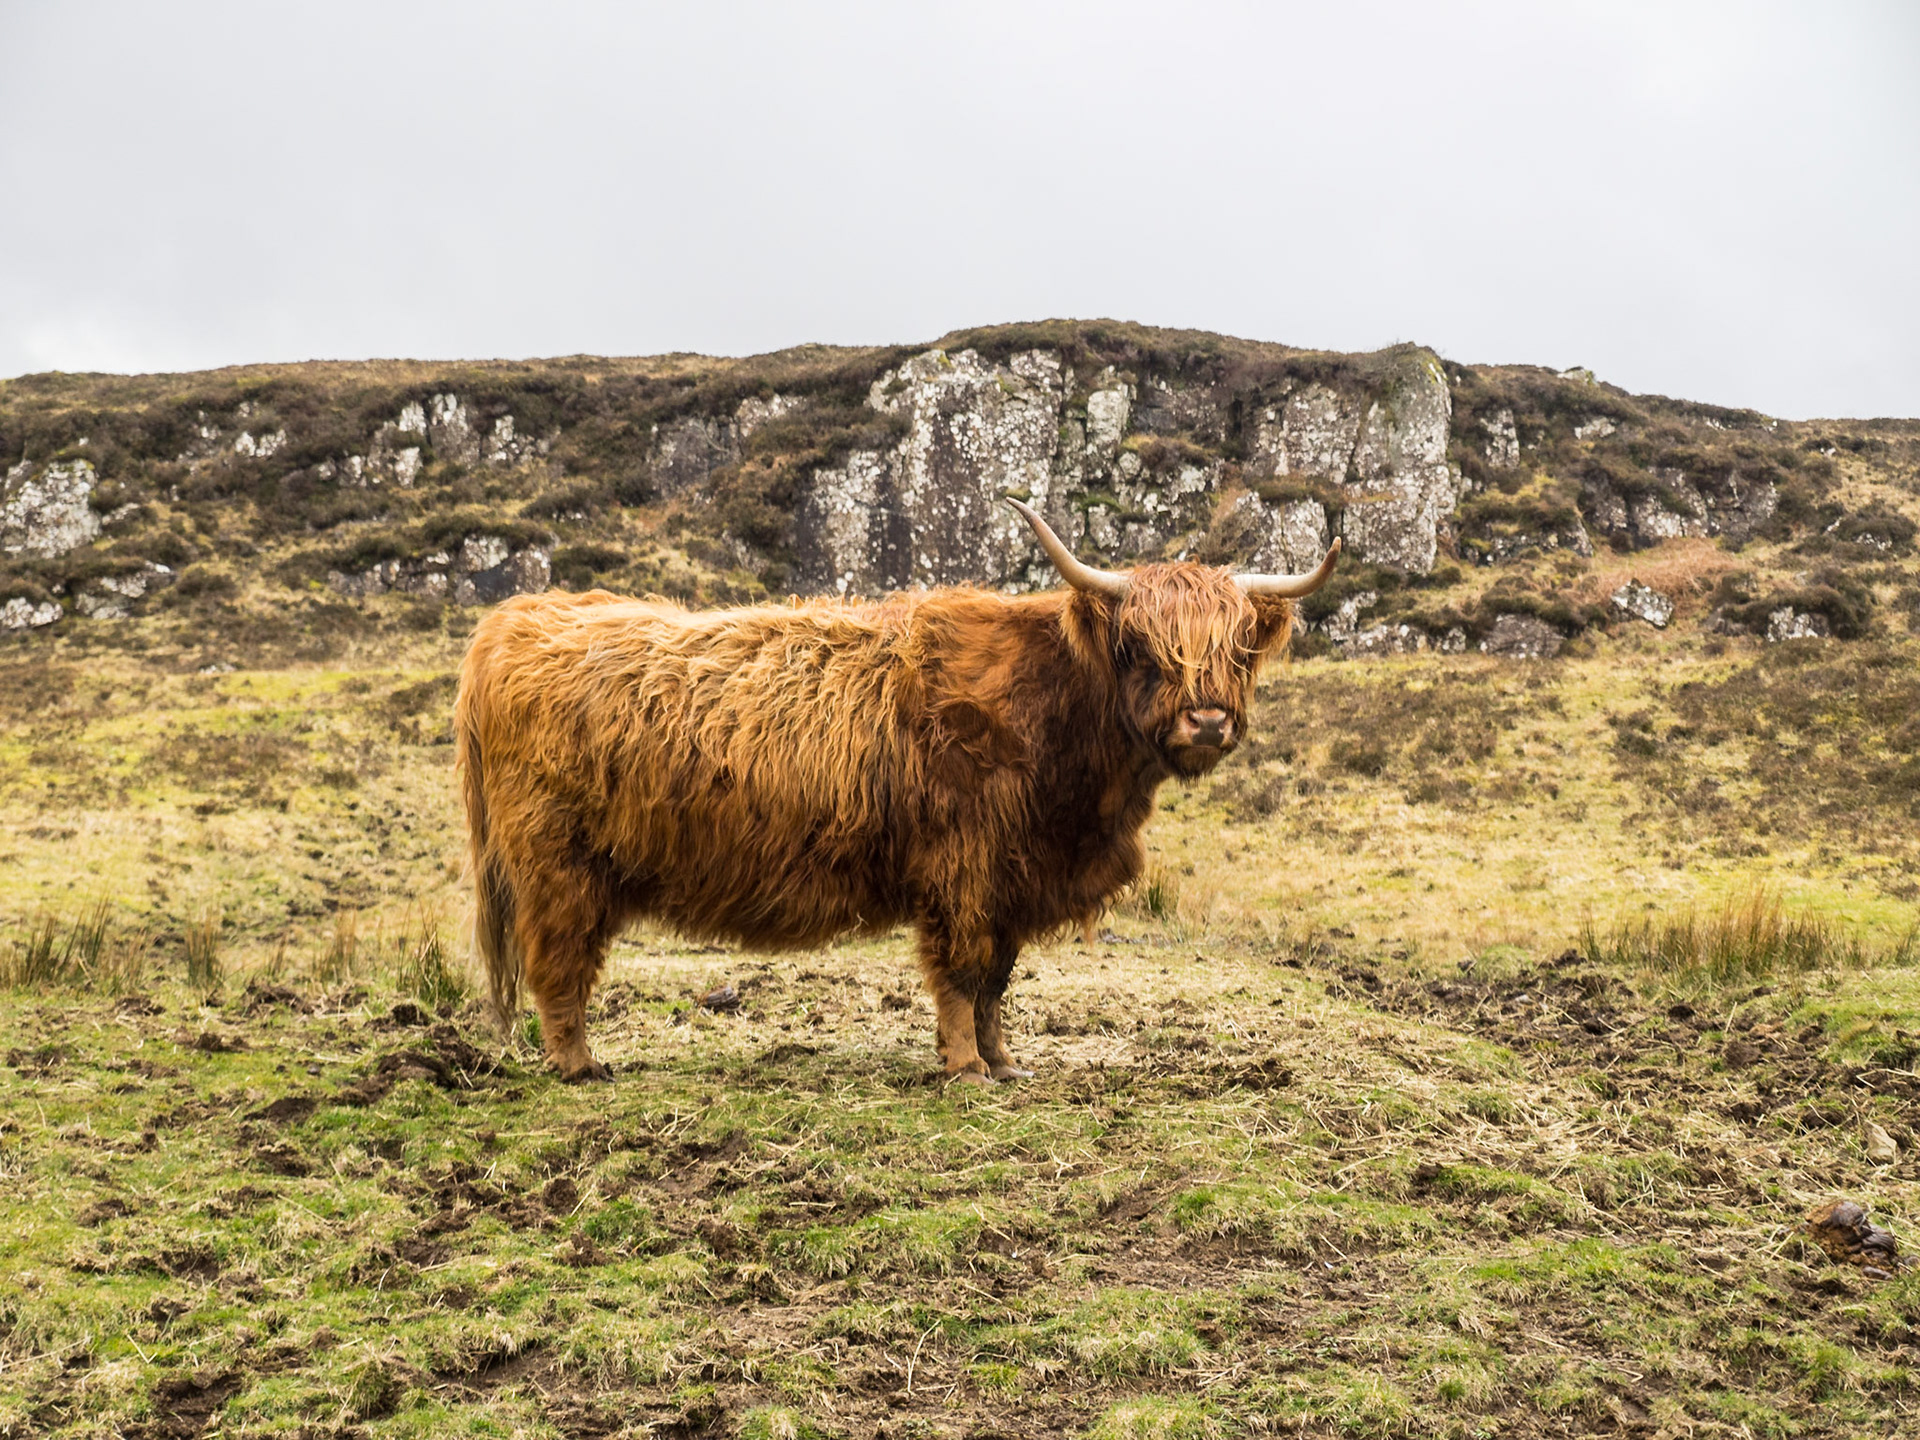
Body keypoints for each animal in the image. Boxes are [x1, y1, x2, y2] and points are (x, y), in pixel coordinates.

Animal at [455, 499, 1337, 1084]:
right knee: (559, 964)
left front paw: (1005, 1062)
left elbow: (998, 979)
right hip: (557, 865)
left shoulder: (1014, 878)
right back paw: (580, 1066)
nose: (1208, 720)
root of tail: (517, 620)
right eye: (1142, 646)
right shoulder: (961, 868)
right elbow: (961, 971)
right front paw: (965, 1069)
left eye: (1236, 649)